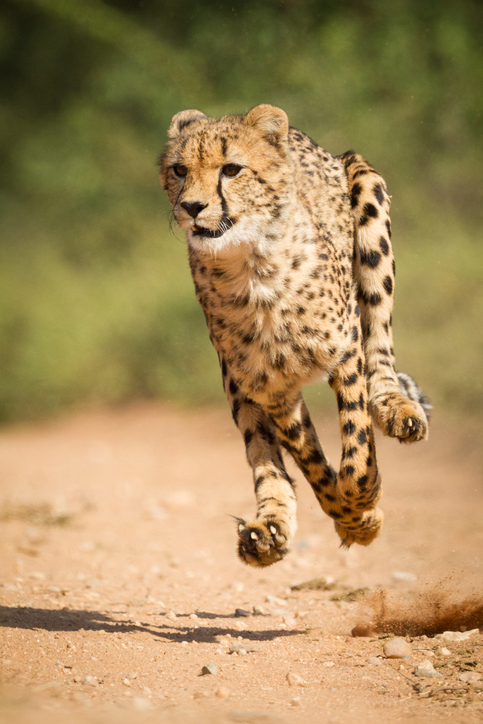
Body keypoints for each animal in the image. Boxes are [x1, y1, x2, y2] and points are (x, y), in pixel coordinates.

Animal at [160, 103, 432, 564]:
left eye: (231, 169)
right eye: (180, 169)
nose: (192, 206)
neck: (252, 268)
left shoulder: (345, 349)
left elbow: (357, 446)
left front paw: (361, 502)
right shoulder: (271, 388)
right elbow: (311, 465)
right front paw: (353, 517)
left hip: (368, 195)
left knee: (380, 343)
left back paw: (396, 407)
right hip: (236, 382)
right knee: (262, 449)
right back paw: (267, 529)